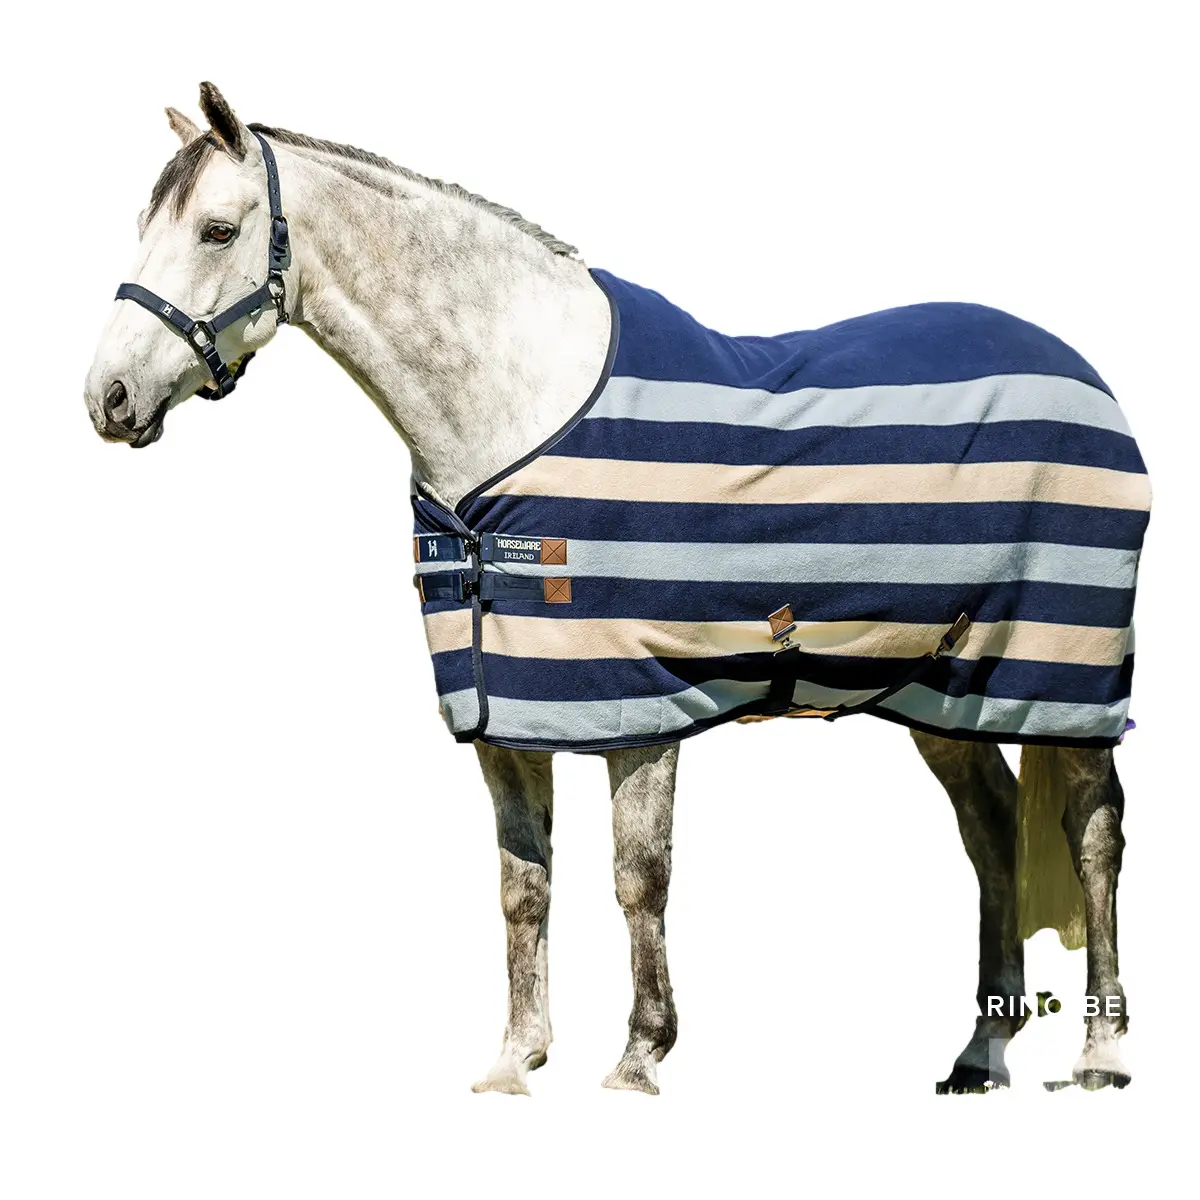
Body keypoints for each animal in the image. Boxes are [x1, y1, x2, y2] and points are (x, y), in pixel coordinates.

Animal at [84, 83, 1147, 1095]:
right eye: (143, 223)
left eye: (217, 230)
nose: (108, 399)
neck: (517, 414)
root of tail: (1086, 377)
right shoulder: (508, 711)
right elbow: (523, 886)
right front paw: (515, 1063)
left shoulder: (642, 704)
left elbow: (640, 878)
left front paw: (640, 1059)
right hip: (943, 686)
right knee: (993, 829)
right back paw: (980, 1056)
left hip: (1066, 676)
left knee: (1093, 834)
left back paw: (1100, 1054)